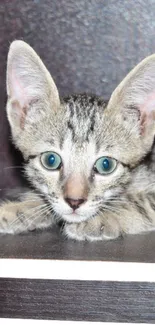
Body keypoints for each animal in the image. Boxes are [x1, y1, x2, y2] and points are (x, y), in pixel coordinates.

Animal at [0, 39, 155, 239]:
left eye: (106, 165)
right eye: (50, 160)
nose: (74, 201)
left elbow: (139, 203)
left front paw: (101, 219)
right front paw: (20, 208)